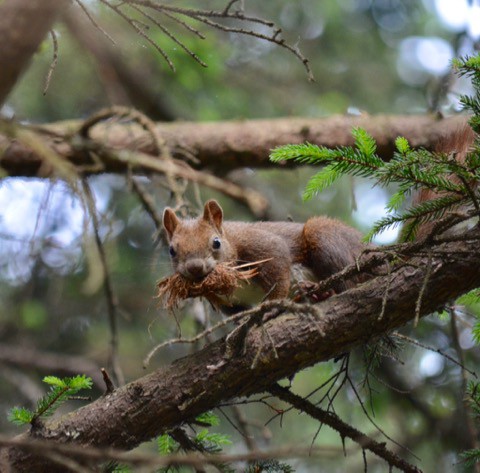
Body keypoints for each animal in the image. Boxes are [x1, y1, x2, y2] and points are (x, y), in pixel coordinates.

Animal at [161, 200, 364, 298]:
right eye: (171, 250)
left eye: (216, 243)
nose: (194, 268)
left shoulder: (260, 243)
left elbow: (278, 273)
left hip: (324, 237)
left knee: (351, 284)